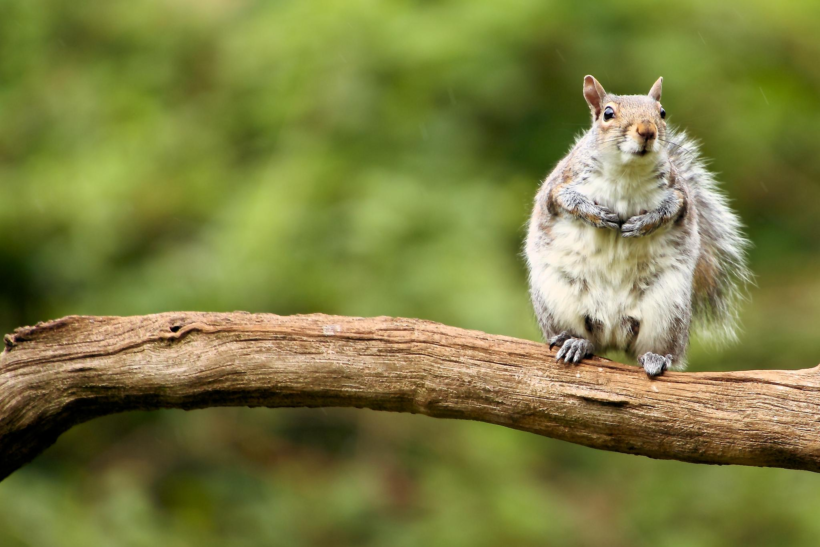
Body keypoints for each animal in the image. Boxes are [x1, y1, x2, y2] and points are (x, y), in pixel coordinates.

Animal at [524, 76, 748, 376]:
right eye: (608, 113)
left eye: (662, 112)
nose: (647, 130)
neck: (627, 171)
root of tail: (612, 331)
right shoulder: (560, 183)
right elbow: (565, 200)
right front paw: (597, 214)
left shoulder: (679, 194)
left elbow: (672, 209)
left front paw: (642, 224)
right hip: (557, 300)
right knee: (585, 339)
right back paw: (575, 343)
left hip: (668, 311)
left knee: (658, 349)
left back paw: (656, 358)